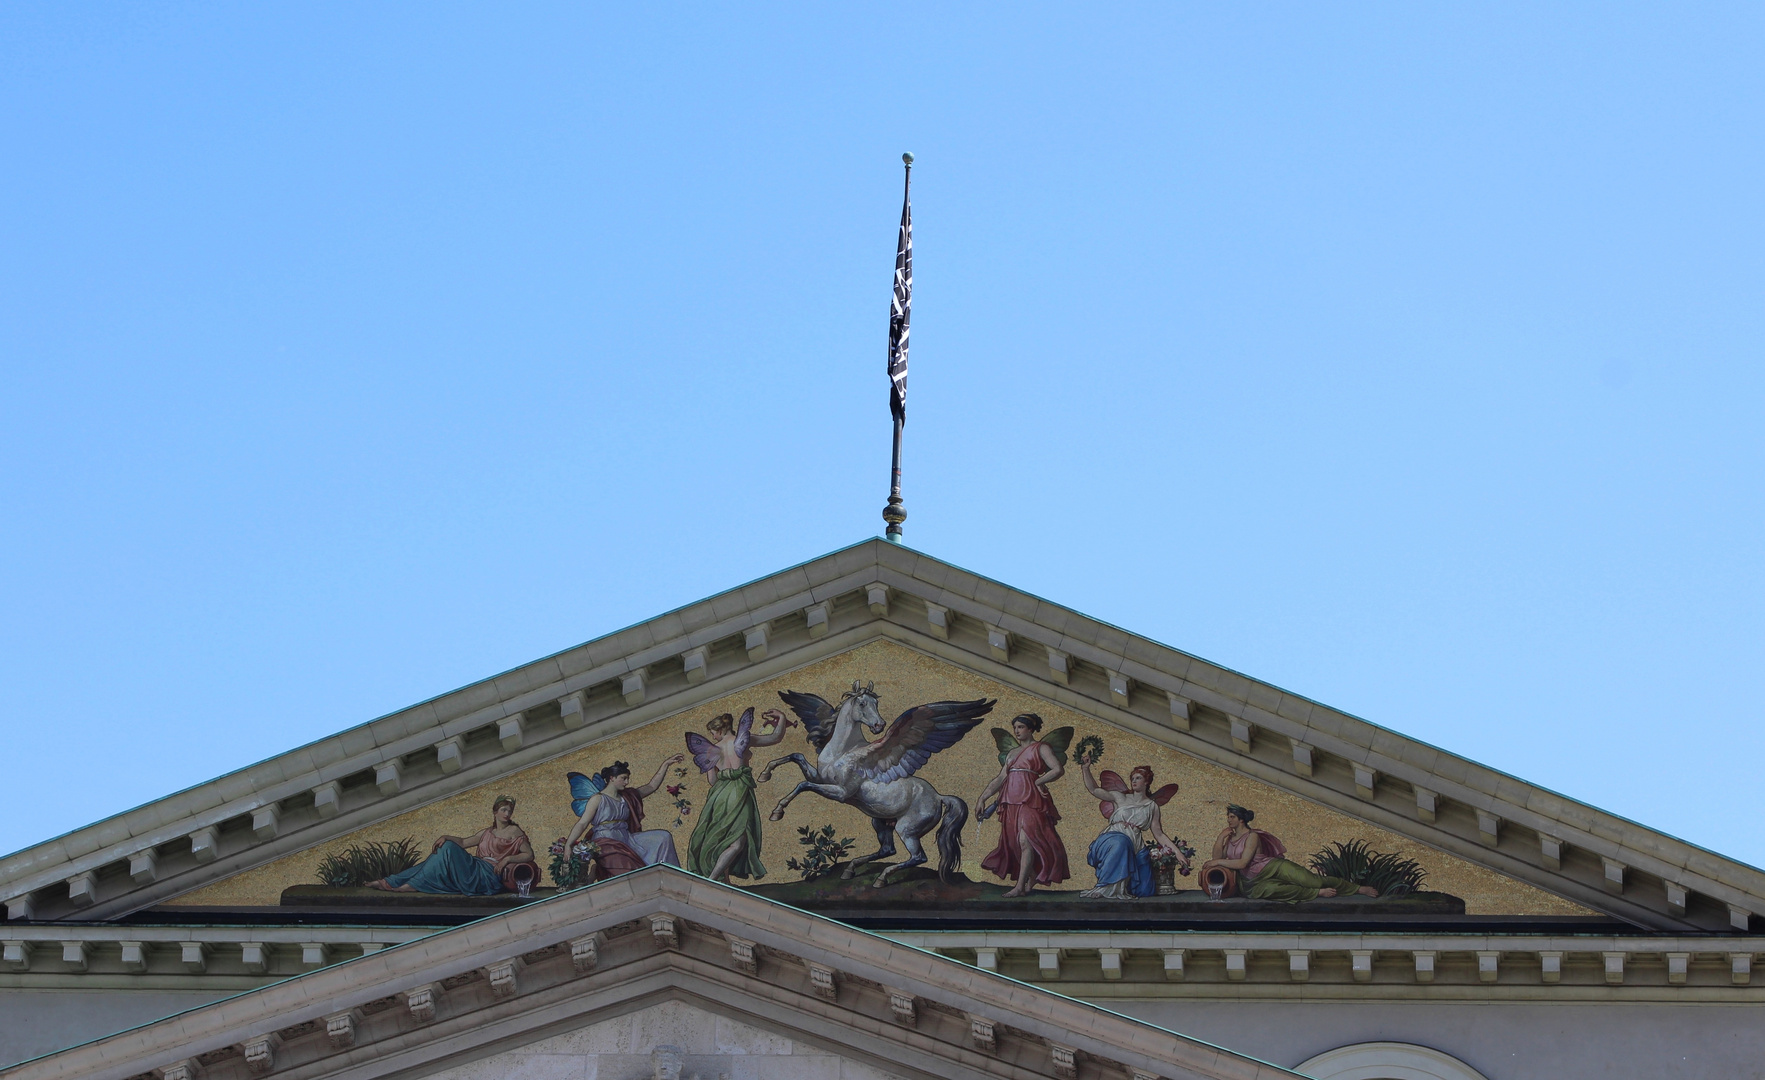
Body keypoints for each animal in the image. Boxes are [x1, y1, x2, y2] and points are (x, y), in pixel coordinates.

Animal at [751, 684, 995, 885]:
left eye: (876, 703)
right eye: (862, 703)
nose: (880, 725)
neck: (844, 751)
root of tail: (939, 797)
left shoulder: (840, 793)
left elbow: (802, 785)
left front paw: (777, 811)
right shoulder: (820, 777)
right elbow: (796, 757)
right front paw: (764, 774)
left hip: (906, 828)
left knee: (918, 856)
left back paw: (881, 878)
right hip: (881, 822)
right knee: (887, 850)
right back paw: (850, 869)